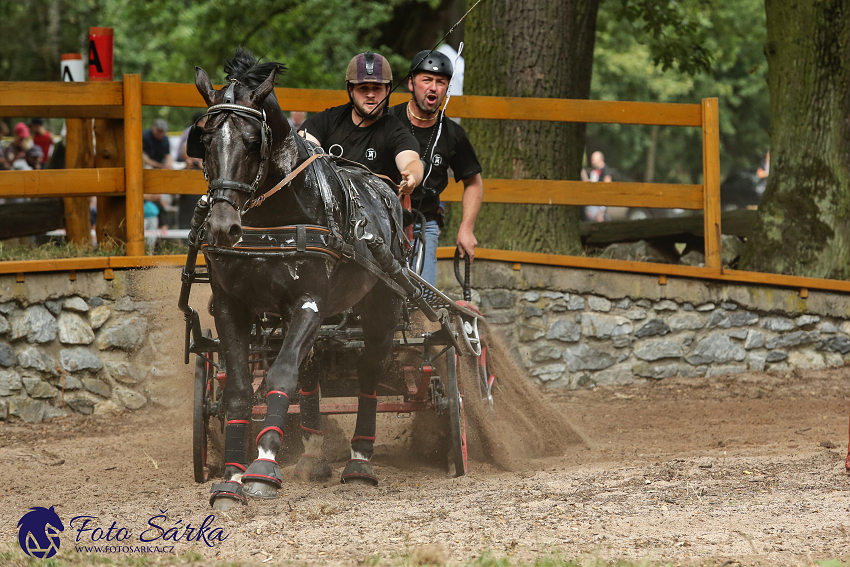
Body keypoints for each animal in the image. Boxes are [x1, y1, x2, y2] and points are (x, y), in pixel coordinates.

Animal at [193, 48, 408, 510]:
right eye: (204, 141)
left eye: (253, 142)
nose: (221, 227)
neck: (272, 219)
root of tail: (385, 192)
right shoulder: (231, 305)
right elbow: (239, 390)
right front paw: (230, 479)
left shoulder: (308, 300)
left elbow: (281, 376)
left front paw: (263, 466)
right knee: (312, 370)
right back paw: (312, 453)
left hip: (382, 304)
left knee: (368, 371)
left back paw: (360, 461)